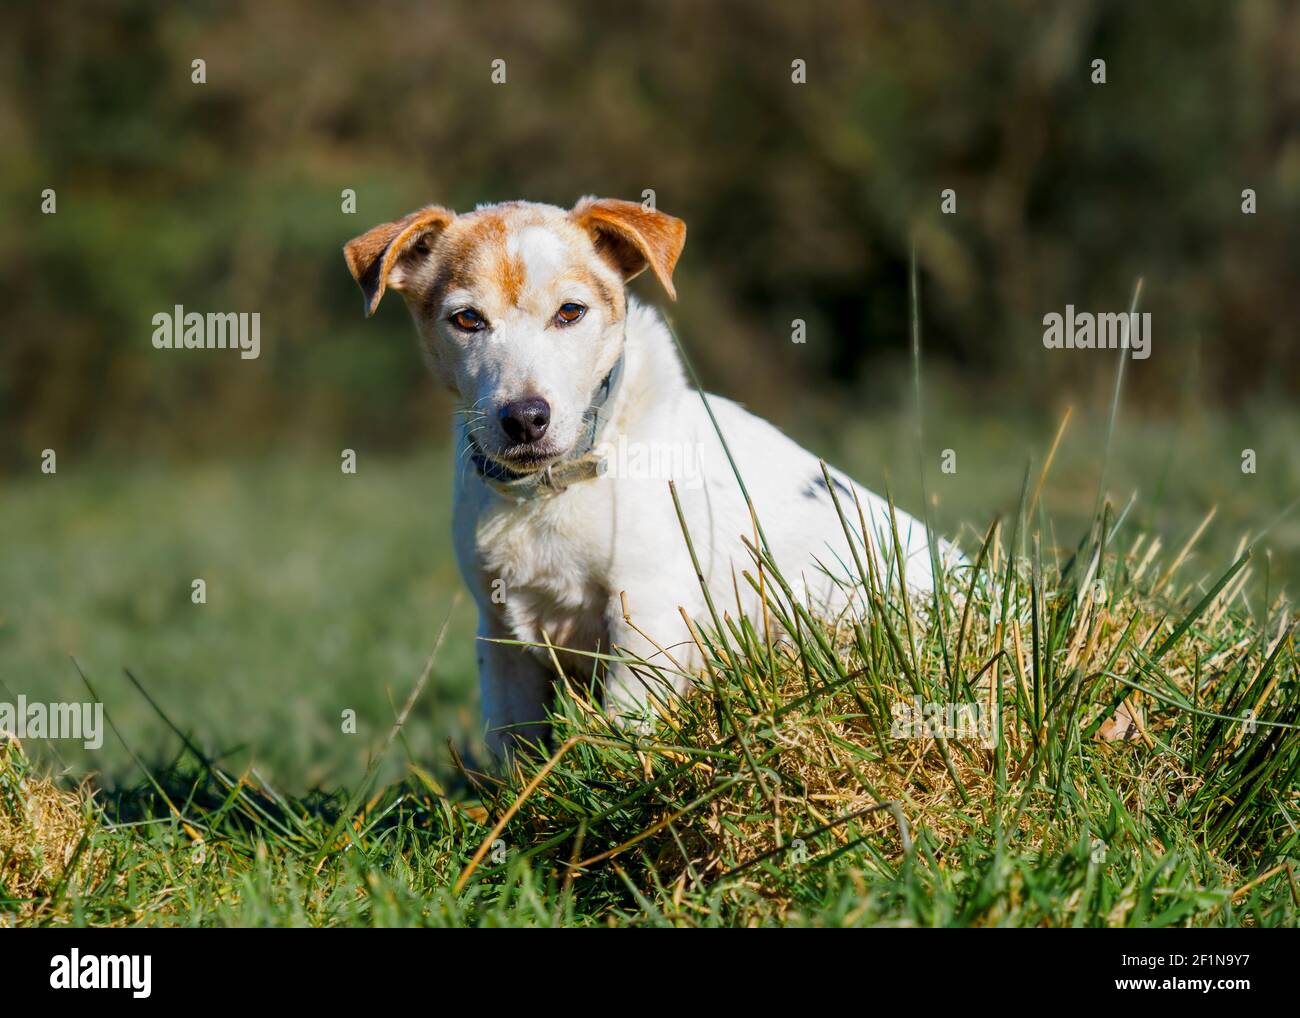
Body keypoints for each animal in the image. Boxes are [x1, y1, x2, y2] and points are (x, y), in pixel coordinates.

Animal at [345, 197, 956, 754]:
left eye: (571, 312)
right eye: (467, 319)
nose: (524, 418)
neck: (552, 490)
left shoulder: (647, 612)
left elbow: (626, 723)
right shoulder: (499, 636)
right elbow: (512, 747)